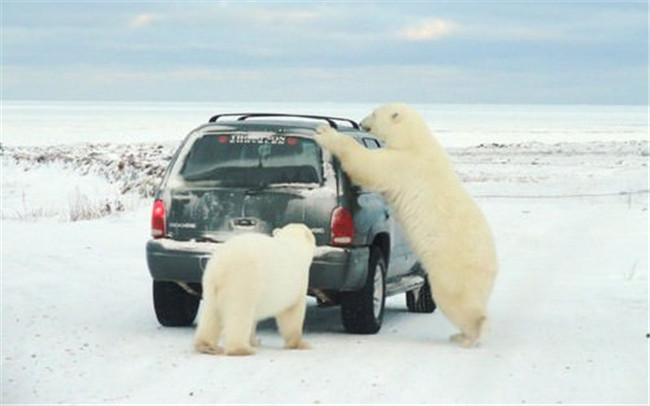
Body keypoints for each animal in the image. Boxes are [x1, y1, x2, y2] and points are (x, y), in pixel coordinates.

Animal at [314, 103, 496, 348]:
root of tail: (491, 267)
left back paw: (466, 336)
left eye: (374, 113)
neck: (415, 140)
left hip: (453, 269)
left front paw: (325, 132)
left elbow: (367, 165)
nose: (361, 122)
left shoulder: (402, 164)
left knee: (457, 301)